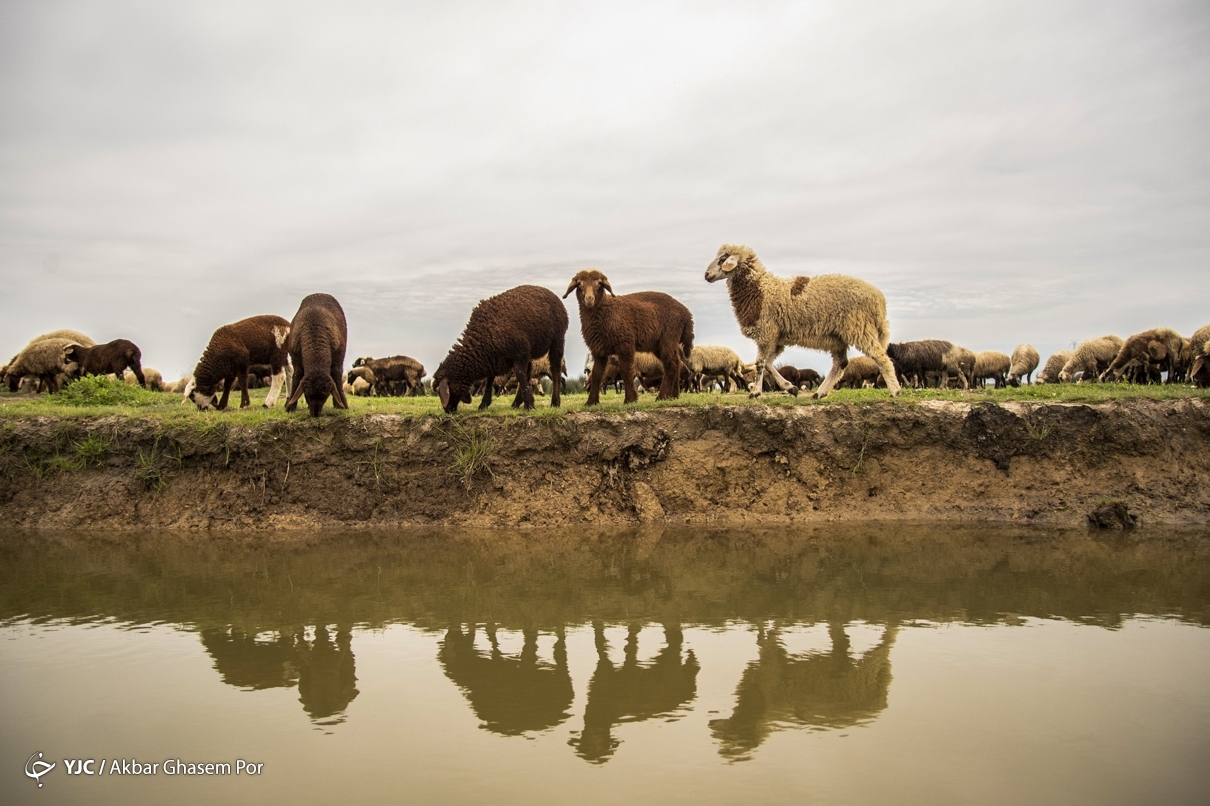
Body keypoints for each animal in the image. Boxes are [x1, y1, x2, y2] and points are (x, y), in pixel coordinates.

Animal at [433, 281, 568, 411]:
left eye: (440, 391)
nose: (447, 410)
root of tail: (552, 294)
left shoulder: (519, 354)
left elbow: (520, 376)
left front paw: (530, 405)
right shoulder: (494, 359)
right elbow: (490, 380)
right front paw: (484, 404)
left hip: (557, 339)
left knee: (555, 370)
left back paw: (555, 402)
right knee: (529, 373)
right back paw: (516, 403)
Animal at [563, 269, 696, 404]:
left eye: (599, 283)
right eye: (579, 284)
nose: (589, 299)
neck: (605, 310)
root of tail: (686, 313)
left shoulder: (625, 344)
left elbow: (626, 371)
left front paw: (630, 399)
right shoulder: (598, 349)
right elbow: (597, 374)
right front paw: (591, 402)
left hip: (669, 337)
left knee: (671, 365)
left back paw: (662, 396)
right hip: (660, 344)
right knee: (676, 363)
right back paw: (673, 395)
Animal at [701, 243, 900, 396]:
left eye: (722, 259)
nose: (706, 275)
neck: (759, 290)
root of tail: (878, 299)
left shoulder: (766, 332)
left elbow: (760, 364)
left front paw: (755, 392)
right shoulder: (776, 338)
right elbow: (768, 364)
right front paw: (791, 388)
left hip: (859, 327)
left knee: (881, 357)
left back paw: (895, 391)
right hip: (838, 337)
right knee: (840, 364)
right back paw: (820, 393)